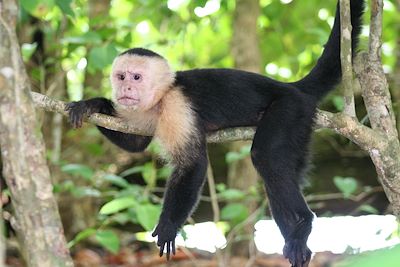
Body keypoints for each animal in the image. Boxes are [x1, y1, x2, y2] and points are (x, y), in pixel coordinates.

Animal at [66, 1, 366, 266]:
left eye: (136, 78)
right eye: (121, 76)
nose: (125, 89)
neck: (161, 98)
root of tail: (291, 87)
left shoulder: (177, 106)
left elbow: (193, 164)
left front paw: (168, 225)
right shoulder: (141, 113)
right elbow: (135, 144)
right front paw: (94, 104)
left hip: (290, 108)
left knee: (266, 156)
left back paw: (302, 223)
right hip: (302, 126)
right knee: (287, 168)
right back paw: (295, 236)